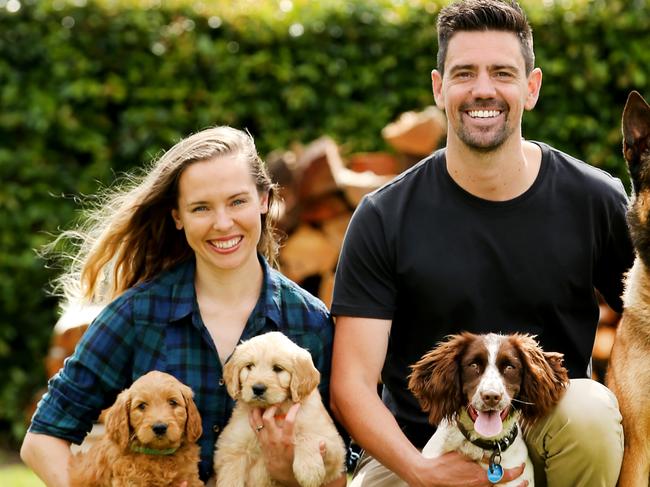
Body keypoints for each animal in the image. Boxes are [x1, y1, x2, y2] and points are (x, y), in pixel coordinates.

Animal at [68, 372, 202, 486]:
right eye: (142, 406)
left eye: (173, 402)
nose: (159, 428)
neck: (158, 455)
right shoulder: (130, 481)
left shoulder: (190, 478)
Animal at [214, 332, 346, 487]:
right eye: (249, 366)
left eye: (278, 368)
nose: (258, 388)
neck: (276, 410)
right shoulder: (232, 447)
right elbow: (230, 475)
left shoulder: (333, 444)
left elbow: (307, 436)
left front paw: (309, 470)